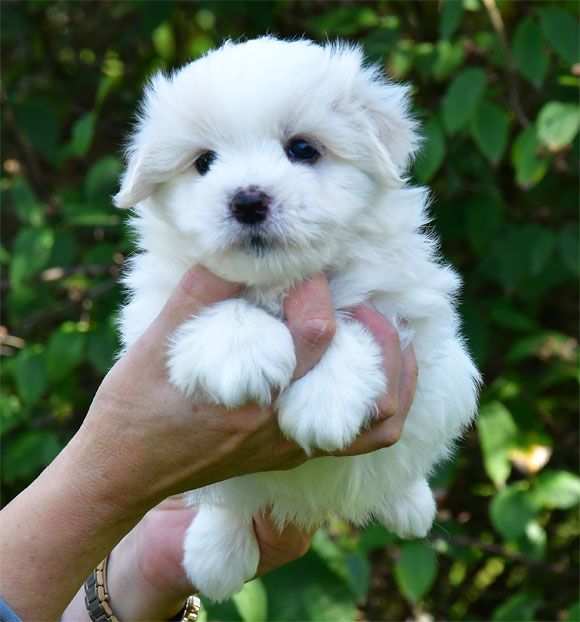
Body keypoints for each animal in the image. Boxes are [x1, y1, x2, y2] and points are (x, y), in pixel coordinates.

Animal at [114, 37, 480, 601]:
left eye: (303, 149)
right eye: (204, 162)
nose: (247, 200)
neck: (278, 281)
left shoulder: (406, 301)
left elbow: (356, 318)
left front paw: (324, 403)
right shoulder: (156, 306)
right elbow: (220, 309)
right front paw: (241, 353)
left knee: (407, 460)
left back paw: (410, 503)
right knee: (227, 501)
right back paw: (215, 554)